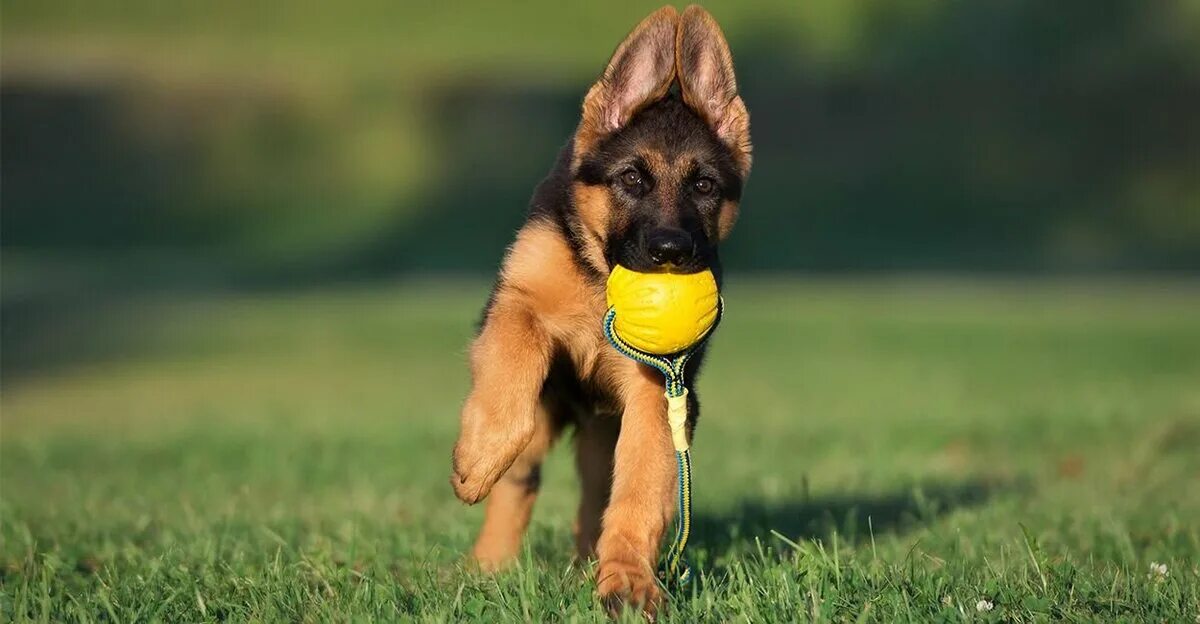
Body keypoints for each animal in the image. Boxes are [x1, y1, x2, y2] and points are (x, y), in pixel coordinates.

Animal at [451, 4, 748, 614]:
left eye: (705, 186)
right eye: (631, 178)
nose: (670, 251)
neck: (598, 280)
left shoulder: (660, 392)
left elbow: (637, 493)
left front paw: (627, 582)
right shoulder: (516, 304)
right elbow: (512, 373)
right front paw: (479, 456)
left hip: (606, 430)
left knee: (598, 495)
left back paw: (586, 562)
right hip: (548, 423)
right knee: (520, 481)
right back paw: (487, 564)